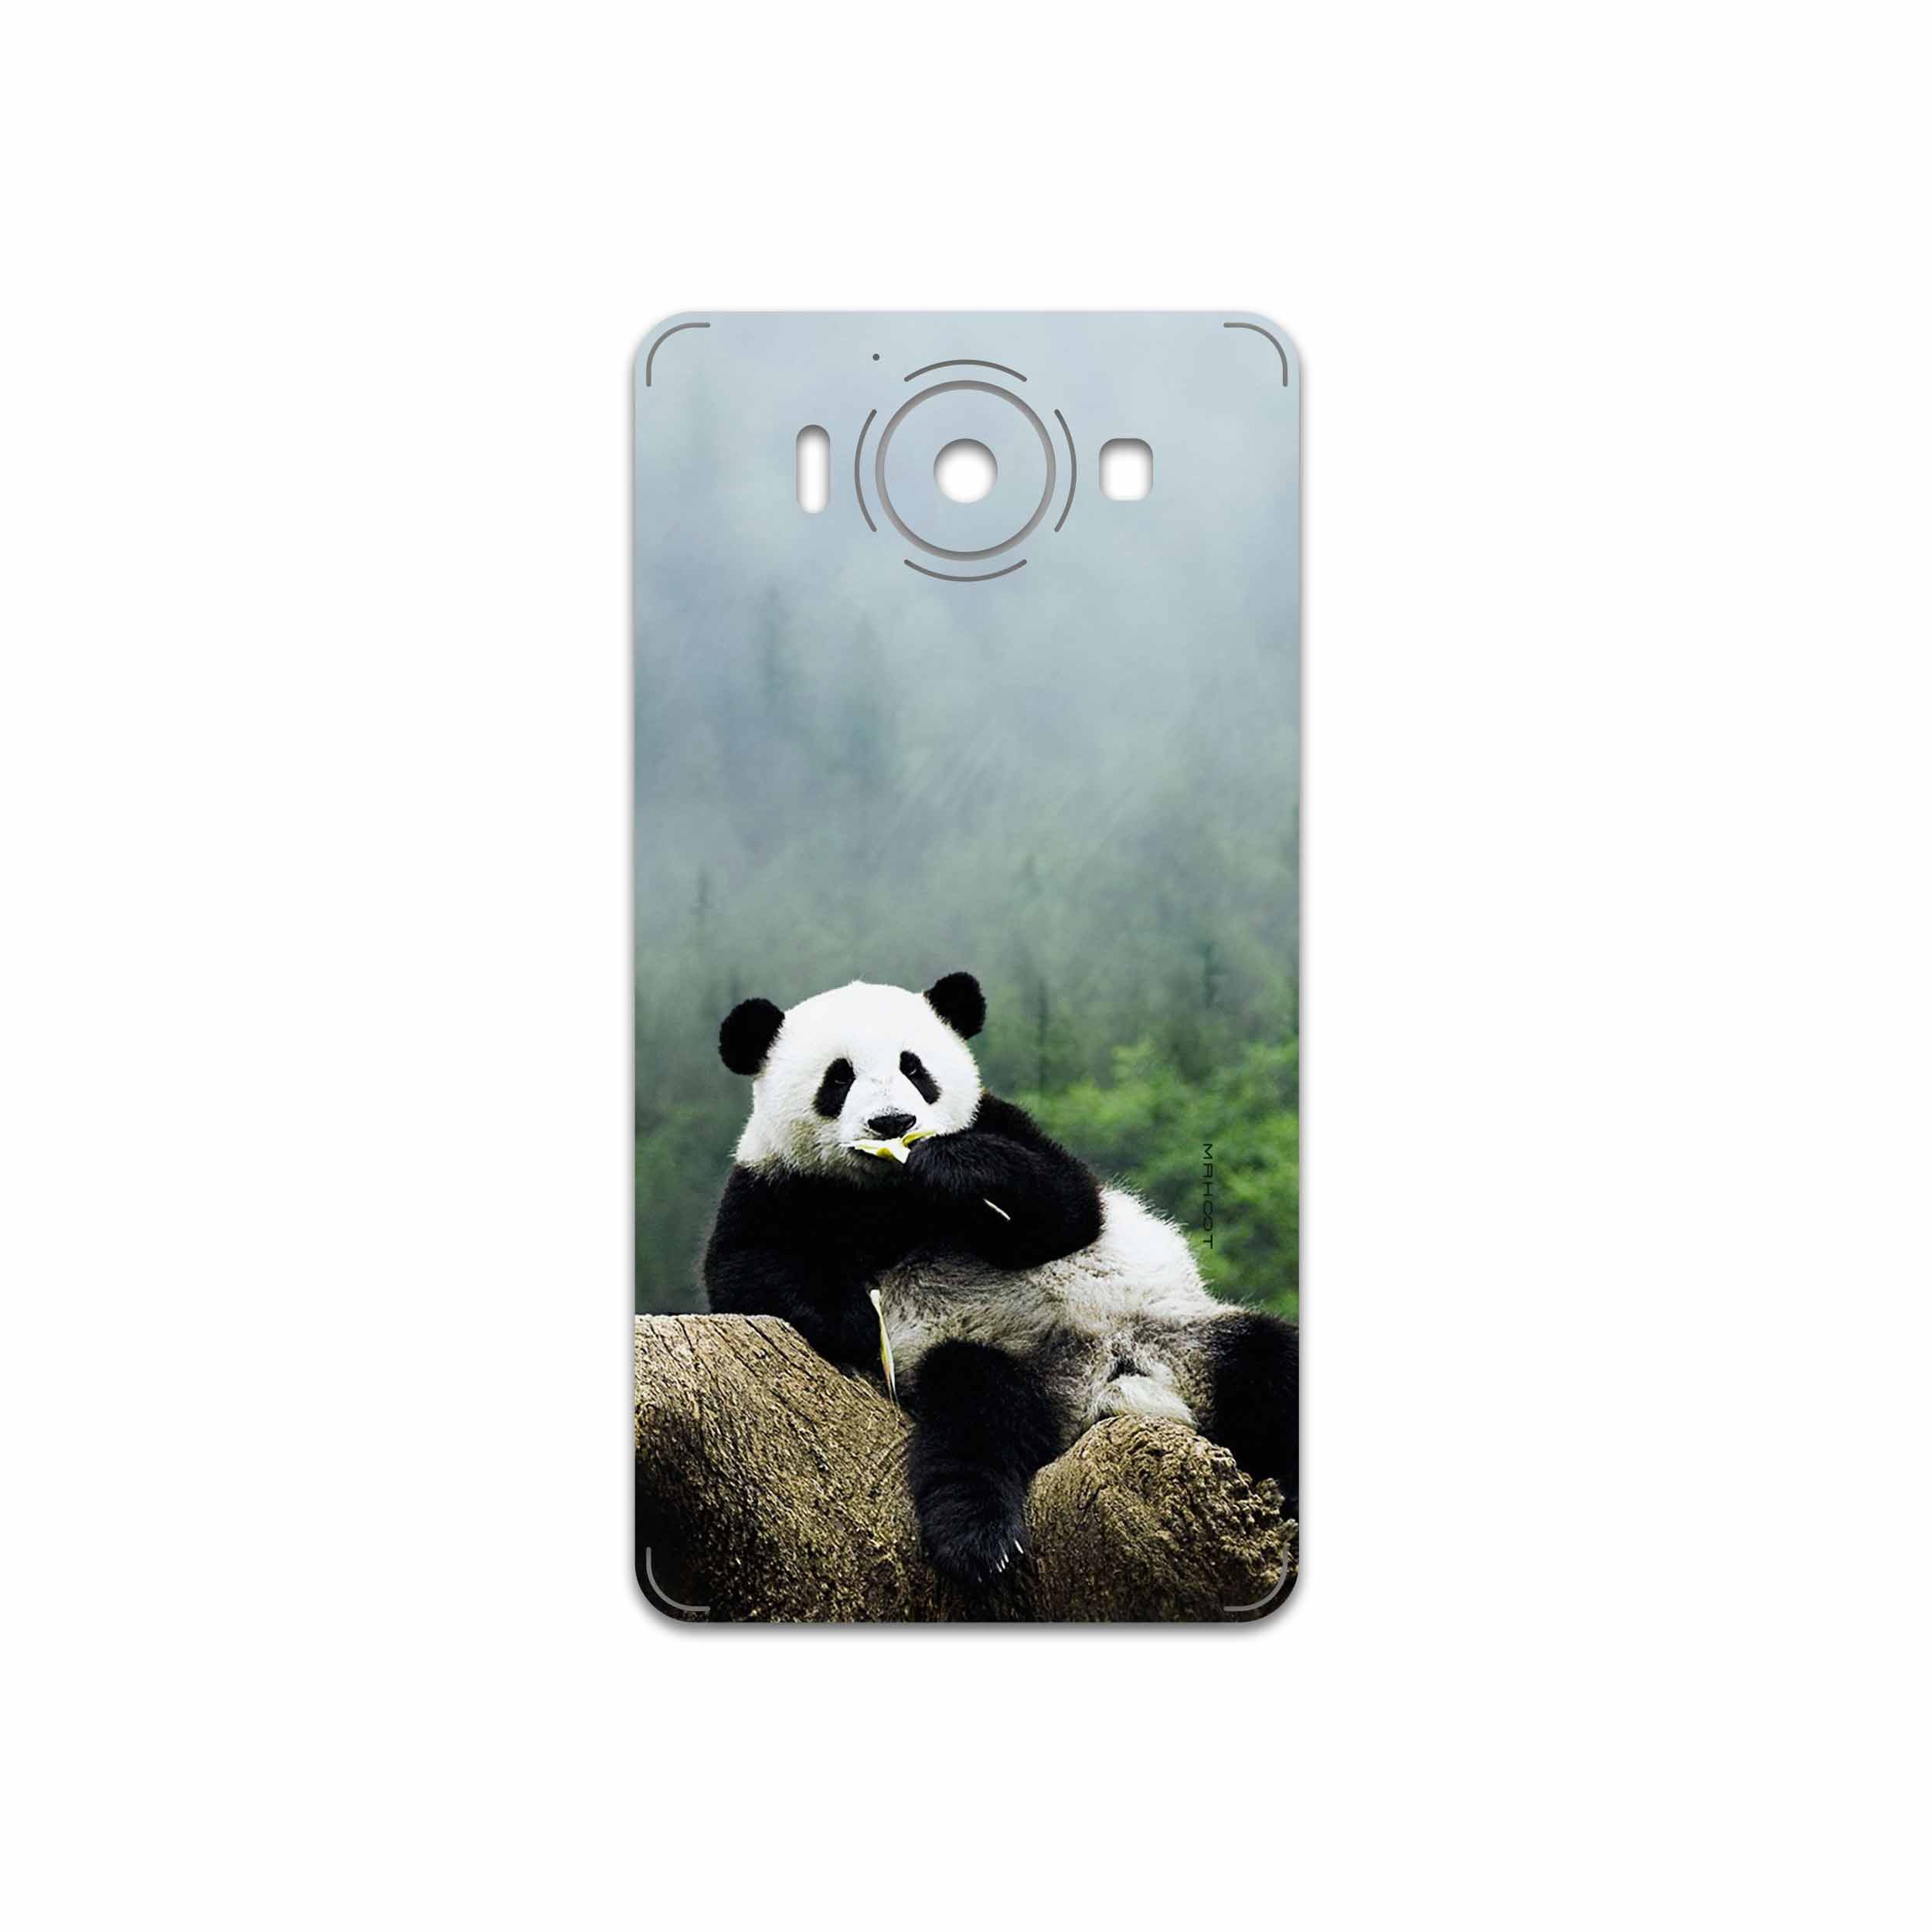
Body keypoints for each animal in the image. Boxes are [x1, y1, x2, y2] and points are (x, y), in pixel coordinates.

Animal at [704, 971, 1298, 1585]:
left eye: (914, 1068)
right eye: (838, 1078)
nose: (892, 1123)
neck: (888, 1194)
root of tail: (1103, 1385)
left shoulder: (1000, 1123)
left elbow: (1068, 1208)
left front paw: (950, 1168)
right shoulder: (773, 1184)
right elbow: (745, 1273)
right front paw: (858, 1321)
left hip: (1180, 1334)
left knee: (1269, 1365)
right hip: (991, 1357)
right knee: (975, 1418)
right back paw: (980, 1539)